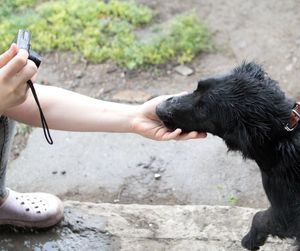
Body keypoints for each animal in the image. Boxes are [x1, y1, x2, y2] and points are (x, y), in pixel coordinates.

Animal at [156, 61, 300, 250]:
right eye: (197, 88)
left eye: (203, 110)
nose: (158, 109)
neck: (280, 136)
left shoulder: (285, 211)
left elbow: (259, 218)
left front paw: (250, 240)